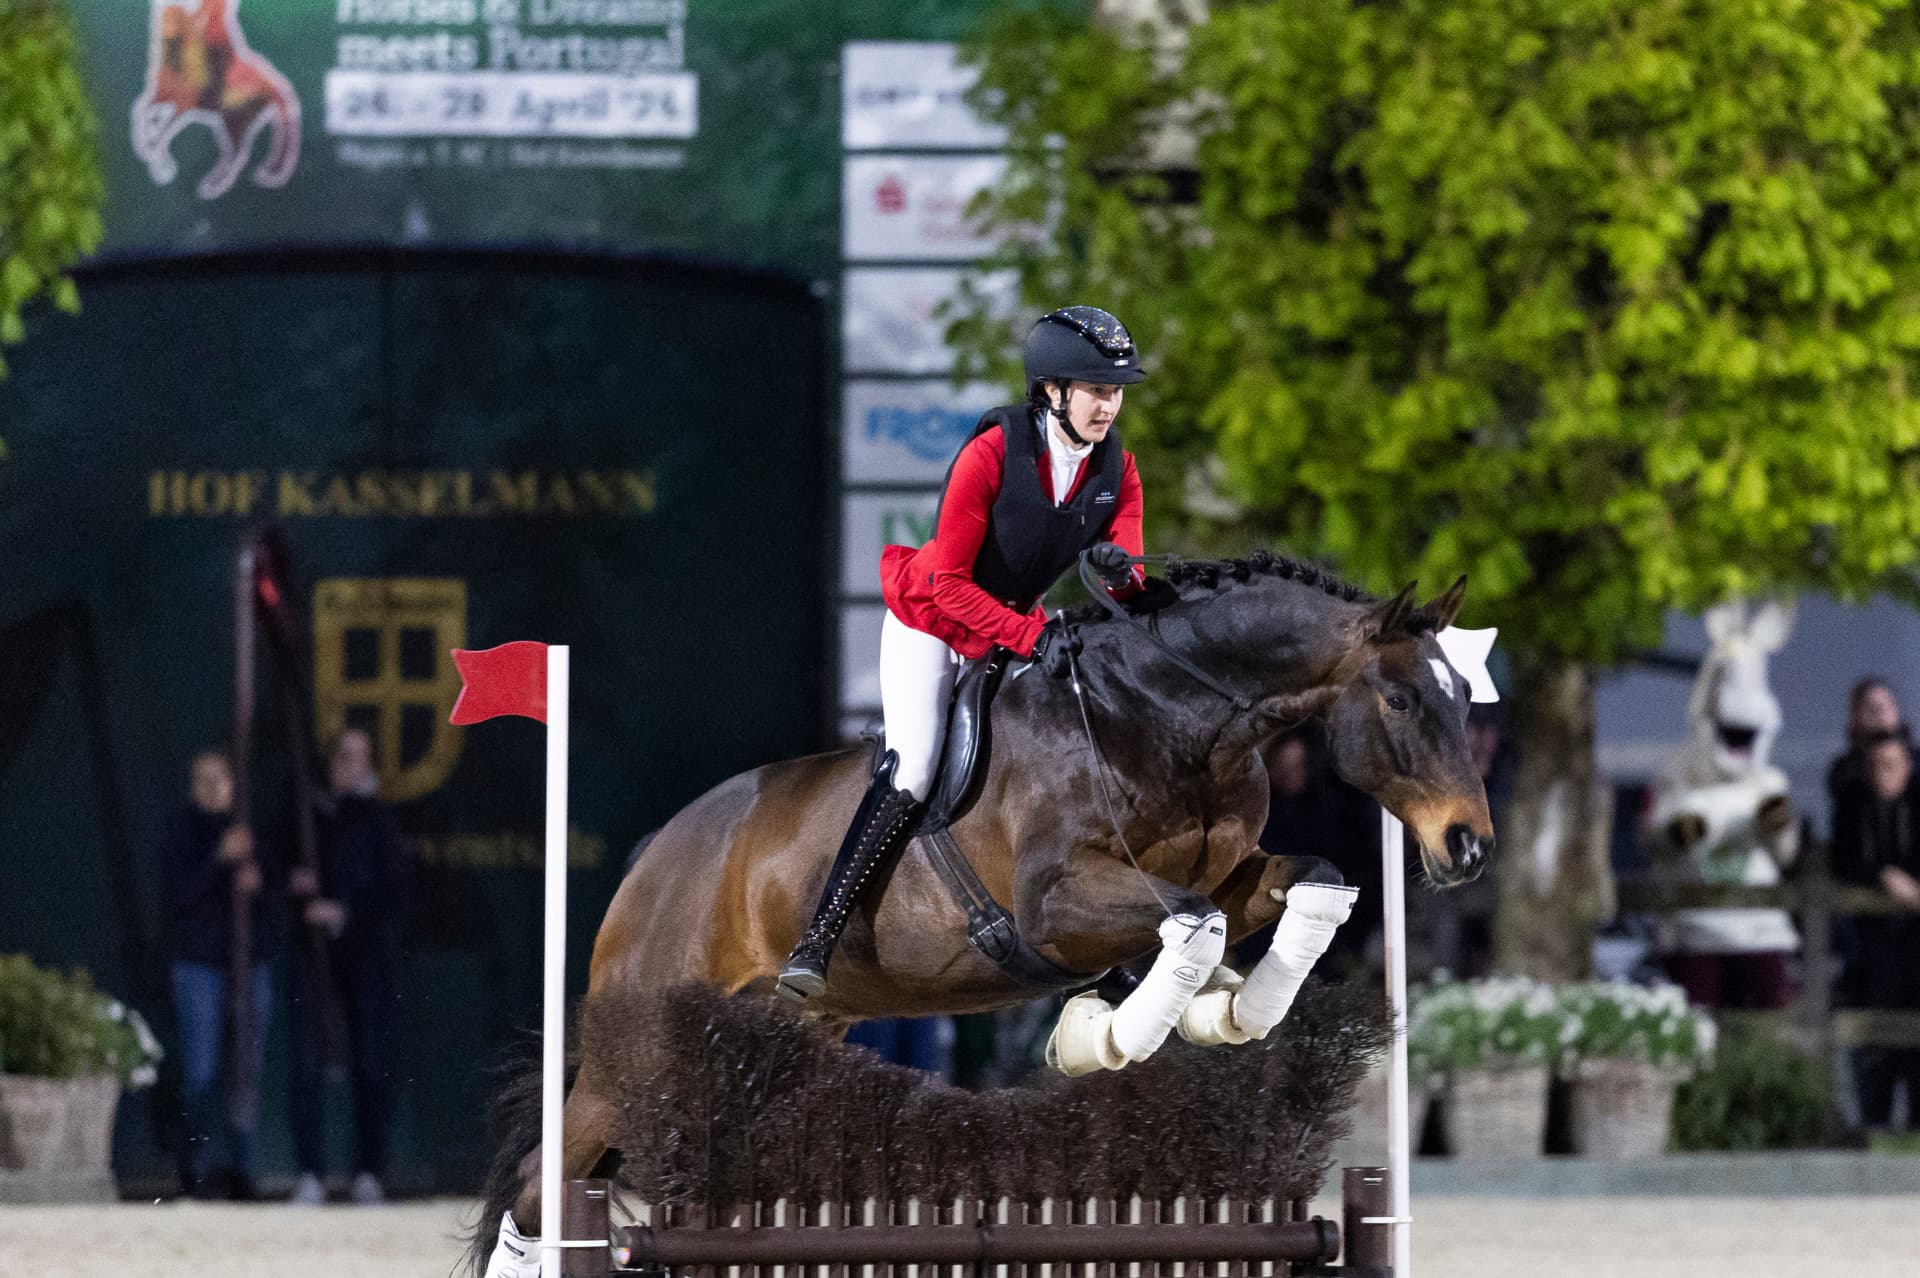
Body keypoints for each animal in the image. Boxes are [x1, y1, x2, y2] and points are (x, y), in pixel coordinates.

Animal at [469, 551, 1495, 1272]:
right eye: (1401, 699)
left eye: (1462, 699)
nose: (1469, 848)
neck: (1171, 716)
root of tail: (657, 855)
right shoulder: (1051, 907)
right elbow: (1190, 926)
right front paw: (1103, 1035)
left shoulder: (1239, 875)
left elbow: (1304, 889)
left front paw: (1232, 1012)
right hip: (630, 1058)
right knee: (540, 1189)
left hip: (767, 1041)